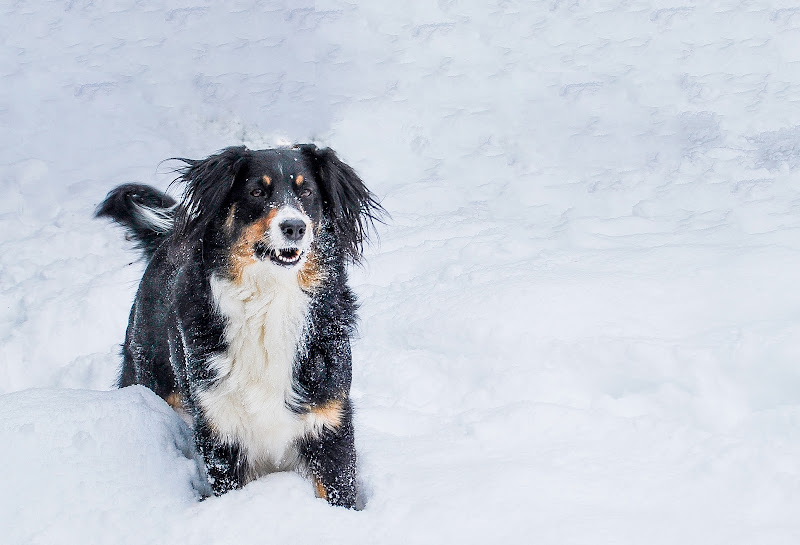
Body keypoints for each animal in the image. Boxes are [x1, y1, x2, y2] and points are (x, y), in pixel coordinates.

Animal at [97, 143, 384, 506]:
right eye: (257, 192)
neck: (270, 300)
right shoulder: (221, 434)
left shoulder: (328, 423)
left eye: (307, 191)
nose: (294, 226)